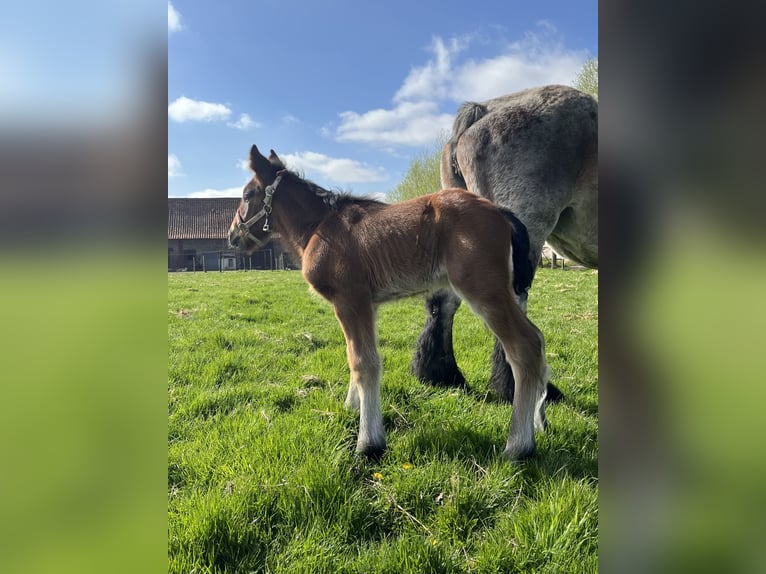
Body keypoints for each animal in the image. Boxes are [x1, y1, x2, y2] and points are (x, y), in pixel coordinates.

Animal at [229, 144, 552, 460]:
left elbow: (364, 363)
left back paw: (518, 446)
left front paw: (368, 443)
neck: (319, 226)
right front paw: (351, 409)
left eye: (246, 195)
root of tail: (501, 212)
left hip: (484, 289)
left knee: (524, 346)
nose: (233, 235)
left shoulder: (350, 300)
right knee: (537, 339)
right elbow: (355, 356)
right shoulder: (367, 305)